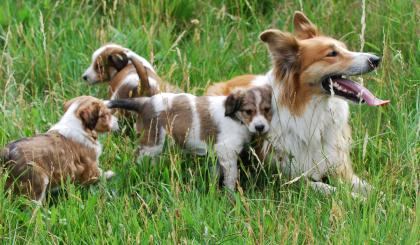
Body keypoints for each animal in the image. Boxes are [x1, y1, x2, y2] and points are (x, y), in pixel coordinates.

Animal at [106, 85, 274, 190]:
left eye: (267, 110)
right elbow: (231, 177)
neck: (236, 118)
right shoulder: (227, 152)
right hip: (152, 143)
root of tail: (145, 102)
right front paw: (231, 195)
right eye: (248, 111)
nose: (260, 127)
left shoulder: (217, 154)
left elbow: (215, 173)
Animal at [205, 11, 388, 196]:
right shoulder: (291, 180)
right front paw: (357, 198)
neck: (315, 111)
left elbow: (371, 188)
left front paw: (381, 198)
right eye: (332, 54)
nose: (376, 59)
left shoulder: (342, 169)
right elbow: (332, 190)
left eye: (345, 48)